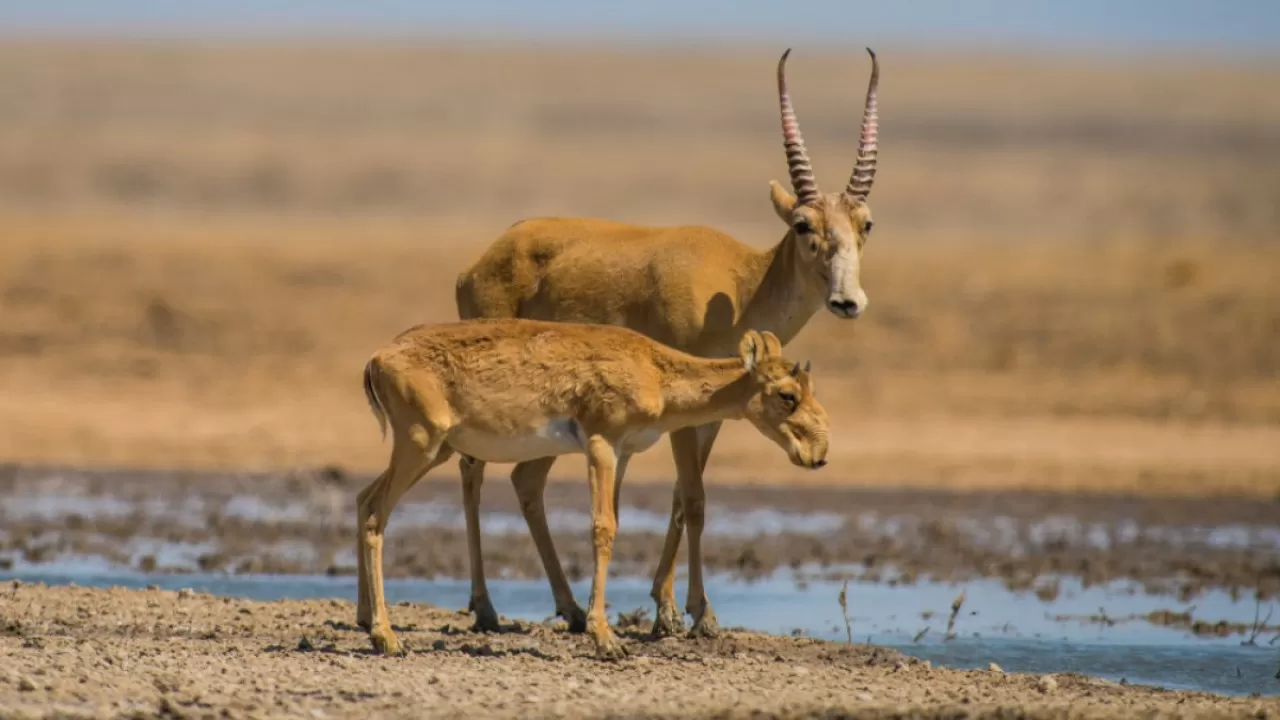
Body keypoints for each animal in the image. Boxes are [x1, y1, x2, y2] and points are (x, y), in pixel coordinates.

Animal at [355, 319, 829, 655]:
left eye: (810, 387)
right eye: (787, 394)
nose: (819, 454)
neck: (653, 370)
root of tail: (377, 358)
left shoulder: (621, 454)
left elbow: (613, 524)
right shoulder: (601, 444)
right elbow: (604, 529)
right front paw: (606, 640)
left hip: (435, 451)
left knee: (363, 500)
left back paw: (364, 619)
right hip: (420, 444)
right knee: (377, 513)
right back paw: (387, 638)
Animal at [440, 46, 880, 632]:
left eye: (866, 223)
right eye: (804, 224)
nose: (847, 301)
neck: (739, 284)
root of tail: (477, 264)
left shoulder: (710, 413)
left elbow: (681, 499)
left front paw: (669, 607)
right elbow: (693, 497)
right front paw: (697, 615)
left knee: (525, 483)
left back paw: (571, 608)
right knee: (473, 470)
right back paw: (486, 607)